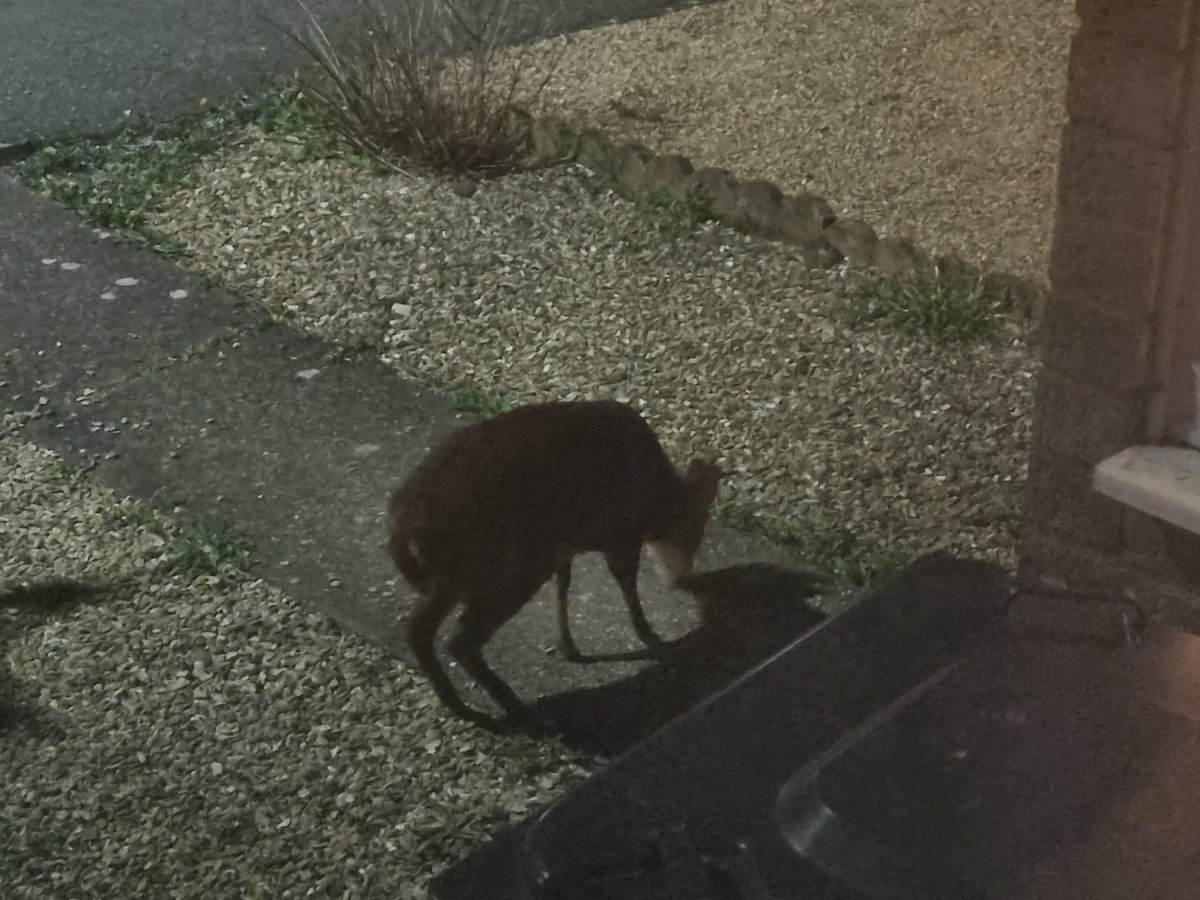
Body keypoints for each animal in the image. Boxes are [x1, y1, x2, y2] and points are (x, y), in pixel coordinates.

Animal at [386, 398, 720, 724]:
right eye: (696, 532)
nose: (683, 576)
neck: (656, 498)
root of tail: (401, 526)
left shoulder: (564, 545)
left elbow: (565, 583)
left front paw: (568, 645)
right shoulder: (620, 532)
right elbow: (626, 583)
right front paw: (653, 638)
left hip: (460, 576)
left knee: (420, 629)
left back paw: (457, 703)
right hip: (503, 570)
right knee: (459, 638)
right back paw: (512, 705)